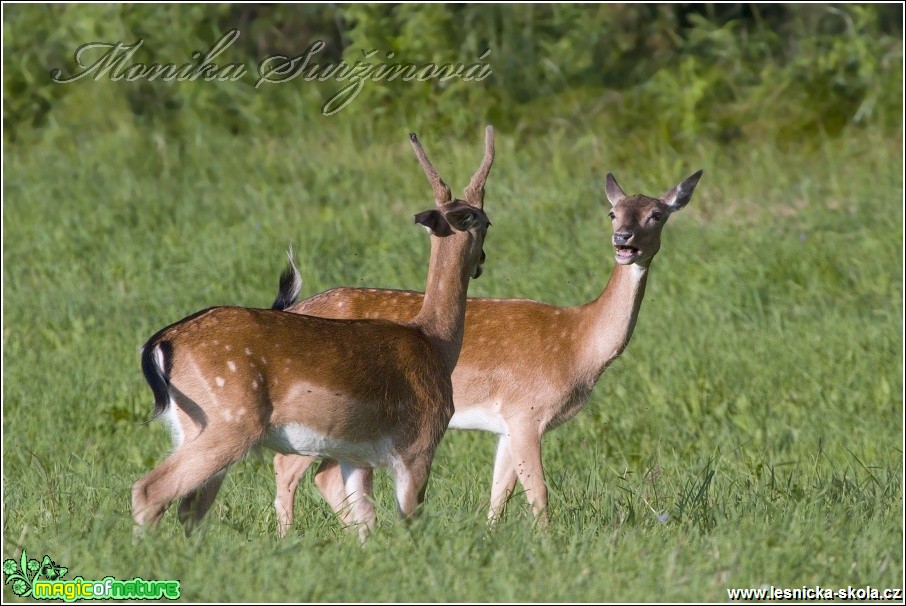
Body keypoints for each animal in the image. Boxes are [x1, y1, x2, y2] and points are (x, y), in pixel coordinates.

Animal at [132, 126, 494, 540]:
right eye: (486, 222)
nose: (482, 261)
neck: (435, 341)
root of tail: (162, 342)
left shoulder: (355, 454)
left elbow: (364, 521)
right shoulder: (418, 443)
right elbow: (408, 520)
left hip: (191, 426)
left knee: (188, 508)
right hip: (229, 420)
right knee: (150, 490)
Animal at [268, 169, 700, 536]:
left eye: (657, 214)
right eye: (613, 212)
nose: (624, 239)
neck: (577, 344)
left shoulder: (508, 423)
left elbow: (499, 494)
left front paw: (492, 539)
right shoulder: (527, 412)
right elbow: (538, 492)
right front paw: (547, 545)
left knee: (321, 475)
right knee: (287, 467)